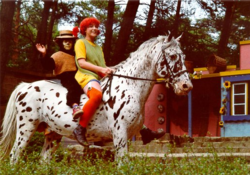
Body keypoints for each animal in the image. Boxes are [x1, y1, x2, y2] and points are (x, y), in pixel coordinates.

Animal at [0, 34, 192, 164]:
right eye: (173, 56)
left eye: (183, 56)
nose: (186, 86)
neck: (130, 87)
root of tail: (25, 86)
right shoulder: (119, 134)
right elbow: (123, 164)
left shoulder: (127, 136)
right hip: (26, 128)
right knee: (14, 155)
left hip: (52, 134)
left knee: (43, 161)